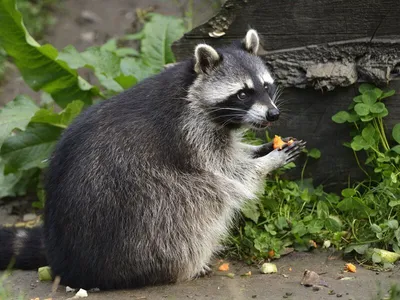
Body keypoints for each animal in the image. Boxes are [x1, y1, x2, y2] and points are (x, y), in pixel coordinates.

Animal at [0, 29, 304, 290]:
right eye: (242, 93)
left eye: (266, 86)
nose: (273, 114)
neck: (191, 86)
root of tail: (63, 259)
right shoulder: (190, 134)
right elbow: (226, 171)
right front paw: (266, 162)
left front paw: (260, 149)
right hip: (140, 214)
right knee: (191, 199)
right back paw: (189, 264)